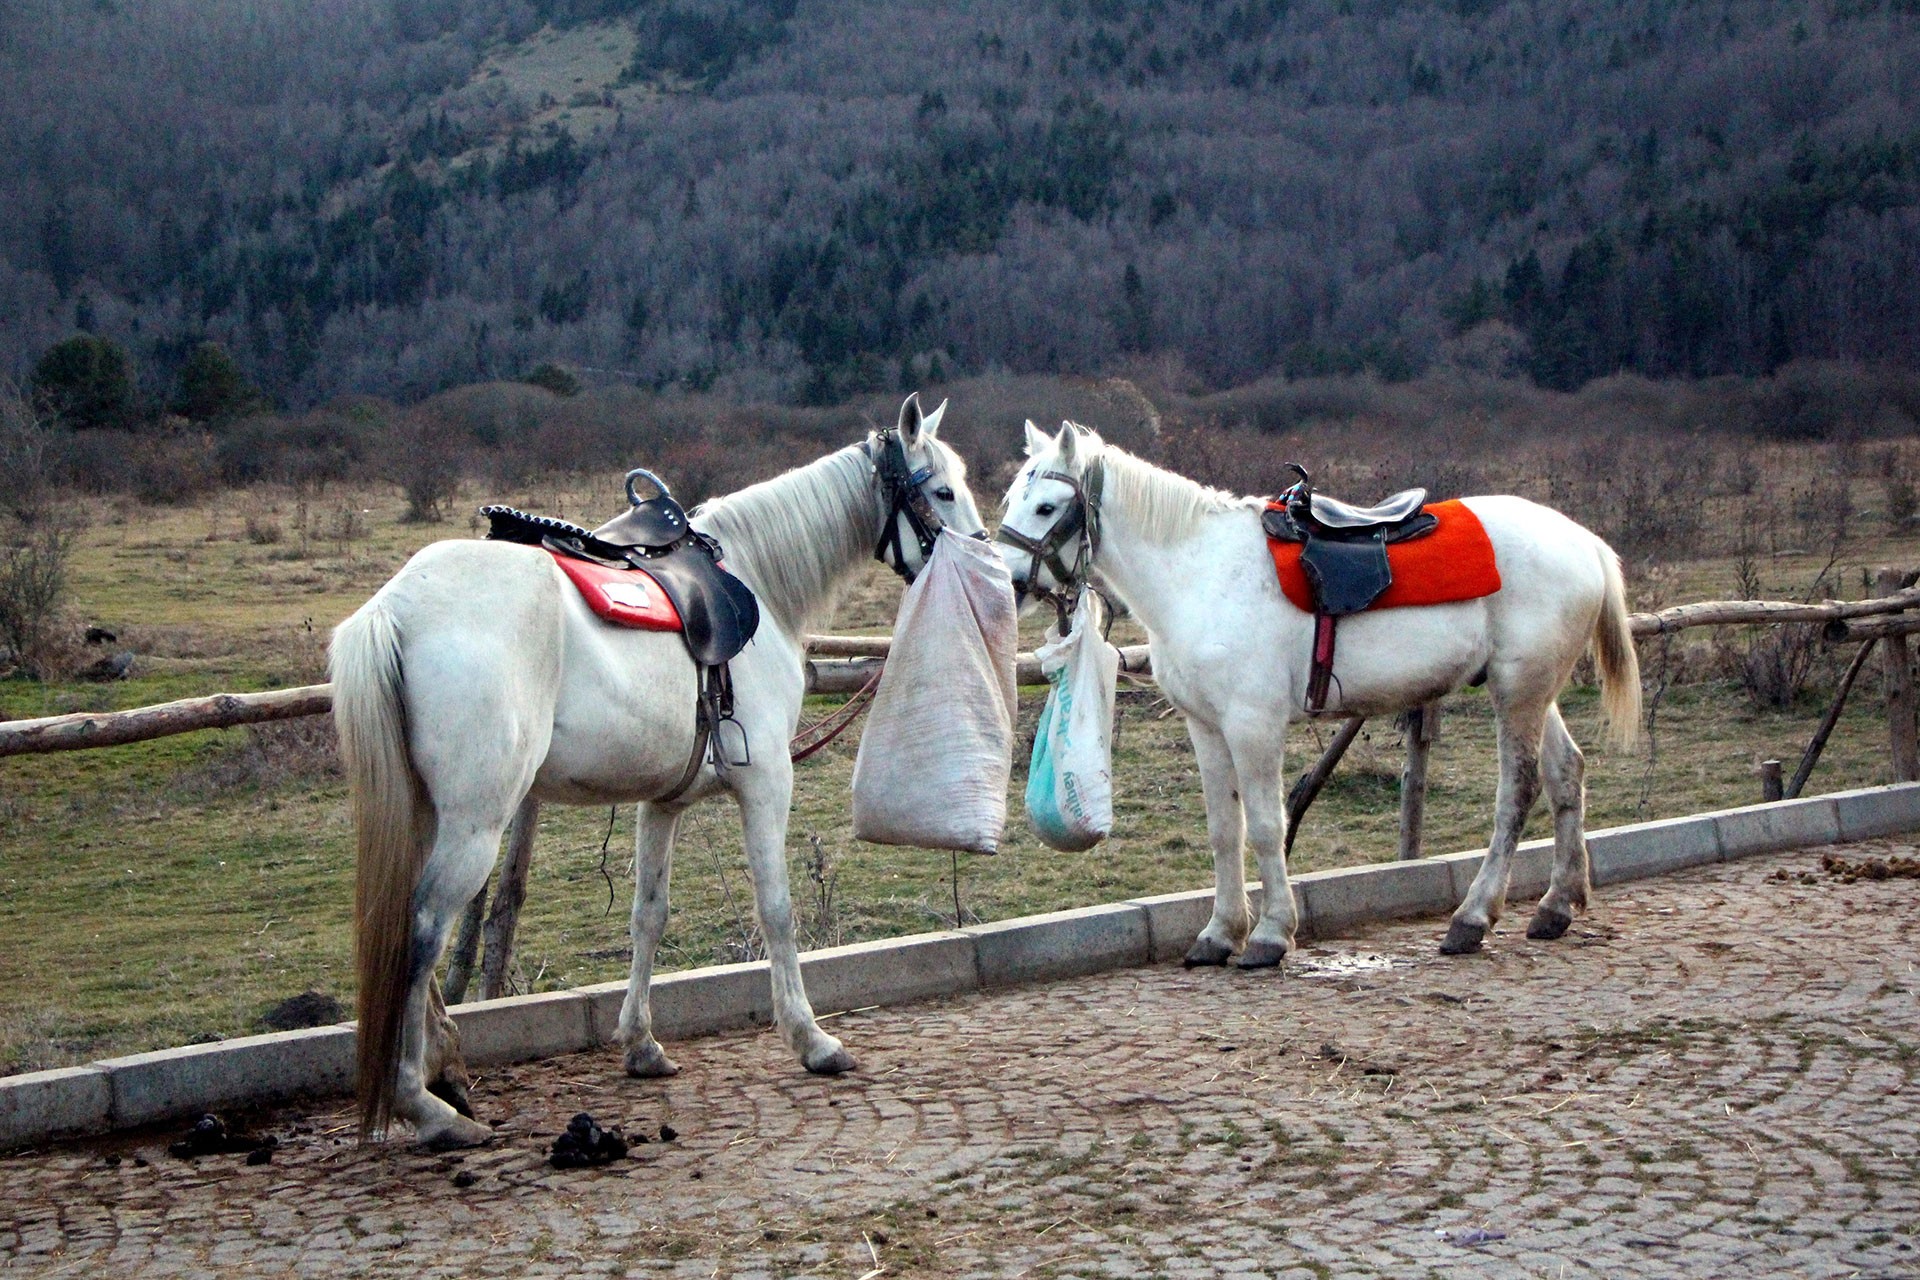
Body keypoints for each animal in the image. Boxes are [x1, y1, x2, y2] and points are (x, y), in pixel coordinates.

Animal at [332, 395, 983, 1143]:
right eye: (942, 491)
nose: (992, 563)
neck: (757, 581)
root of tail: (394, 609)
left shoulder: (661, 802)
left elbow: (649, 915)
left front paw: (641, 1045)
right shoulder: (766, 784)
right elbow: (777, 910)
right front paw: (811, 1039)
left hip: (427, 816)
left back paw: (448, 1078)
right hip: (474, 825)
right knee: (421, 936)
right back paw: (426, 1106)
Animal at [990, 426, 1635, 967]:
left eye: (1046, 506)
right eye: (1010, 501)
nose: (1010, 581)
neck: (1200, 571)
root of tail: (1583, 541)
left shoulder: (1253, 725)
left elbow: (1265, 826)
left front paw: (1270, 935)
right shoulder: (1206, 727)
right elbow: (1224, 829)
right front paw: (1220, 933)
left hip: (1518, 694)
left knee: (1518, 791)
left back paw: (1472, 918)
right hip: (1532, 691)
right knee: (1566, 773)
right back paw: (1557, 905)